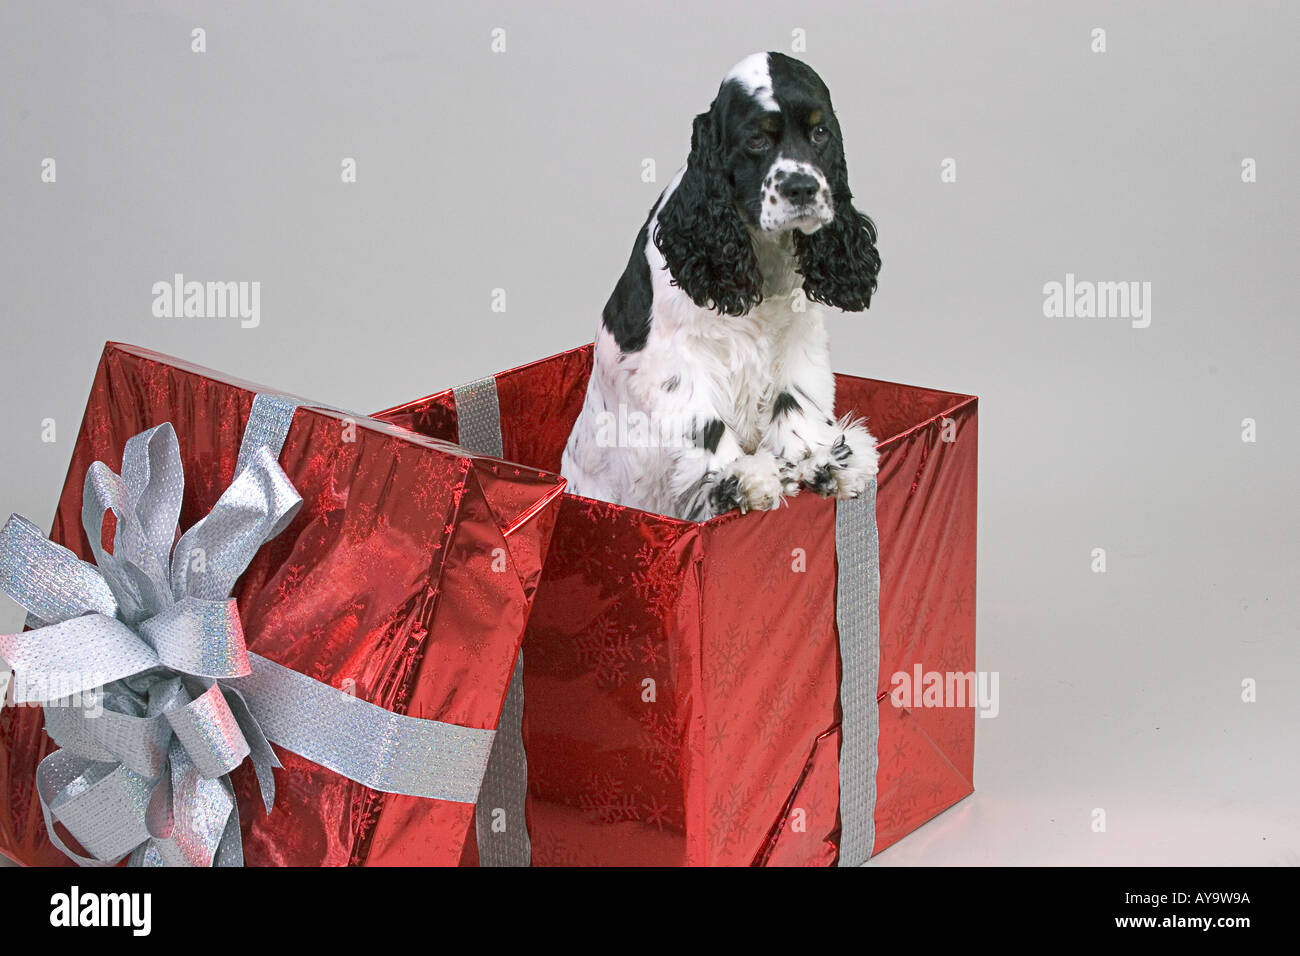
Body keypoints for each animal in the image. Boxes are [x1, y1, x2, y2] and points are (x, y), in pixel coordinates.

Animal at [561, 52, 883, 520]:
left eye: (820, 133)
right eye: (757, 140)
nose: (802, 188)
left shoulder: (798, 337)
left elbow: (797, 398)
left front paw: (823, 459)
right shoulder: (675, 357)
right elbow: (703, 422)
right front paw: (742, 478)